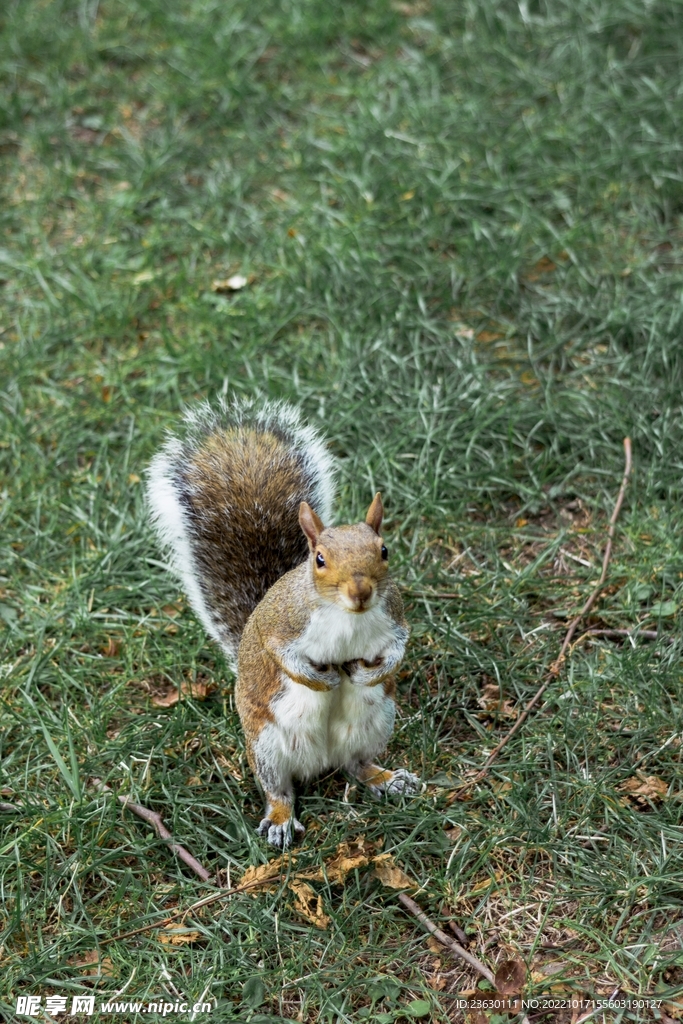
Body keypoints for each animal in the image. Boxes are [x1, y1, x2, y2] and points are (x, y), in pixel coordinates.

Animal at [147, 399, 419, 847]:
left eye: (384, 550)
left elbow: (398, 649)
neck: (347, 616)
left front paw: (369, 674)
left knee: (356, 765)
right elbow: (284, 659)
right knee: (279, 789)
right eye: (320, 559)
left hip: (376, 722)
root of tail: (322, 759)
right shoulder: (280, 628)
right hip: (266, 745)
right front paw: (322, 680)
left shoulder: (394, 618)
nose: (360, 592)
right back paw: (280, 819)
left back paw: (387, 778)